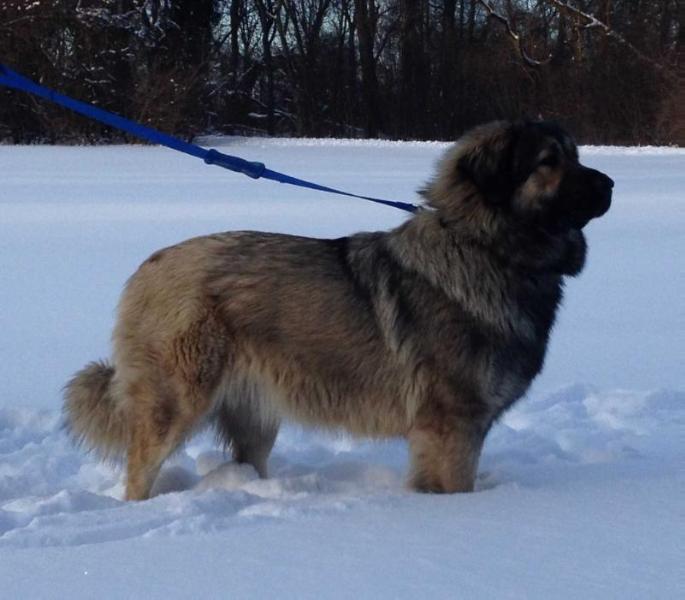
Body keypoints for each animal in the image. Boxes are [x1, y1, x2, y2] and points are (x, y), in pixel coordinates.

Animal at [64, 119, 612, 500]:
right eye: (548, 161)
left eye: (575, 155)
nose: (609, 184)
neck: (483, 246)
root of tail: (148, 268)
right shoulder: (452, 426)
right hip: (176, 403)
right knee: (140, 471)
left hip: (255, 411)